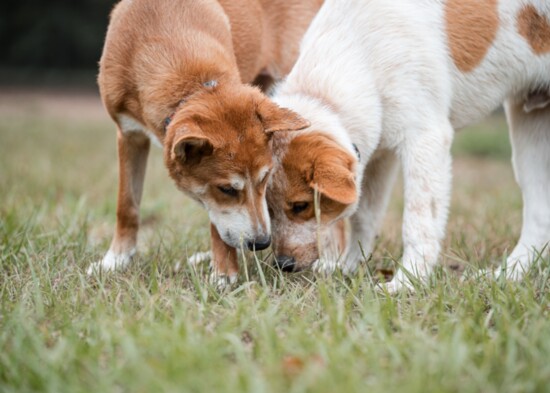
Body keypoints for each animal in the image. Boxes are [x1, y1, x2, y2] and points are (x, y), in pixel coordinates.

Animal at [89, 0, 324, 282]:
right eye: (227, 189)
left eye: (265, 178)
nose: (261, 243)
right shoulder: (128, 134)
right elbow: (127, 205)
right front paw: (115, 261)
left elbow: (217, 225)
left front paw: (224, 274)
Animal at [268, 0, 550, 290]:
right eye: (268, 208)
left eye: (301, 206)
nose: (283, 264)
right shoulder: (378, 156)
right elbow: (365, 217)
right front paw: (348, 269)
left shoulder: (425, 139)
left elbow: (417, 221)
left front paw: (406, 283)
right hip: (529, 125)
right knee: (539, 214)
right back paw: (506, 275)